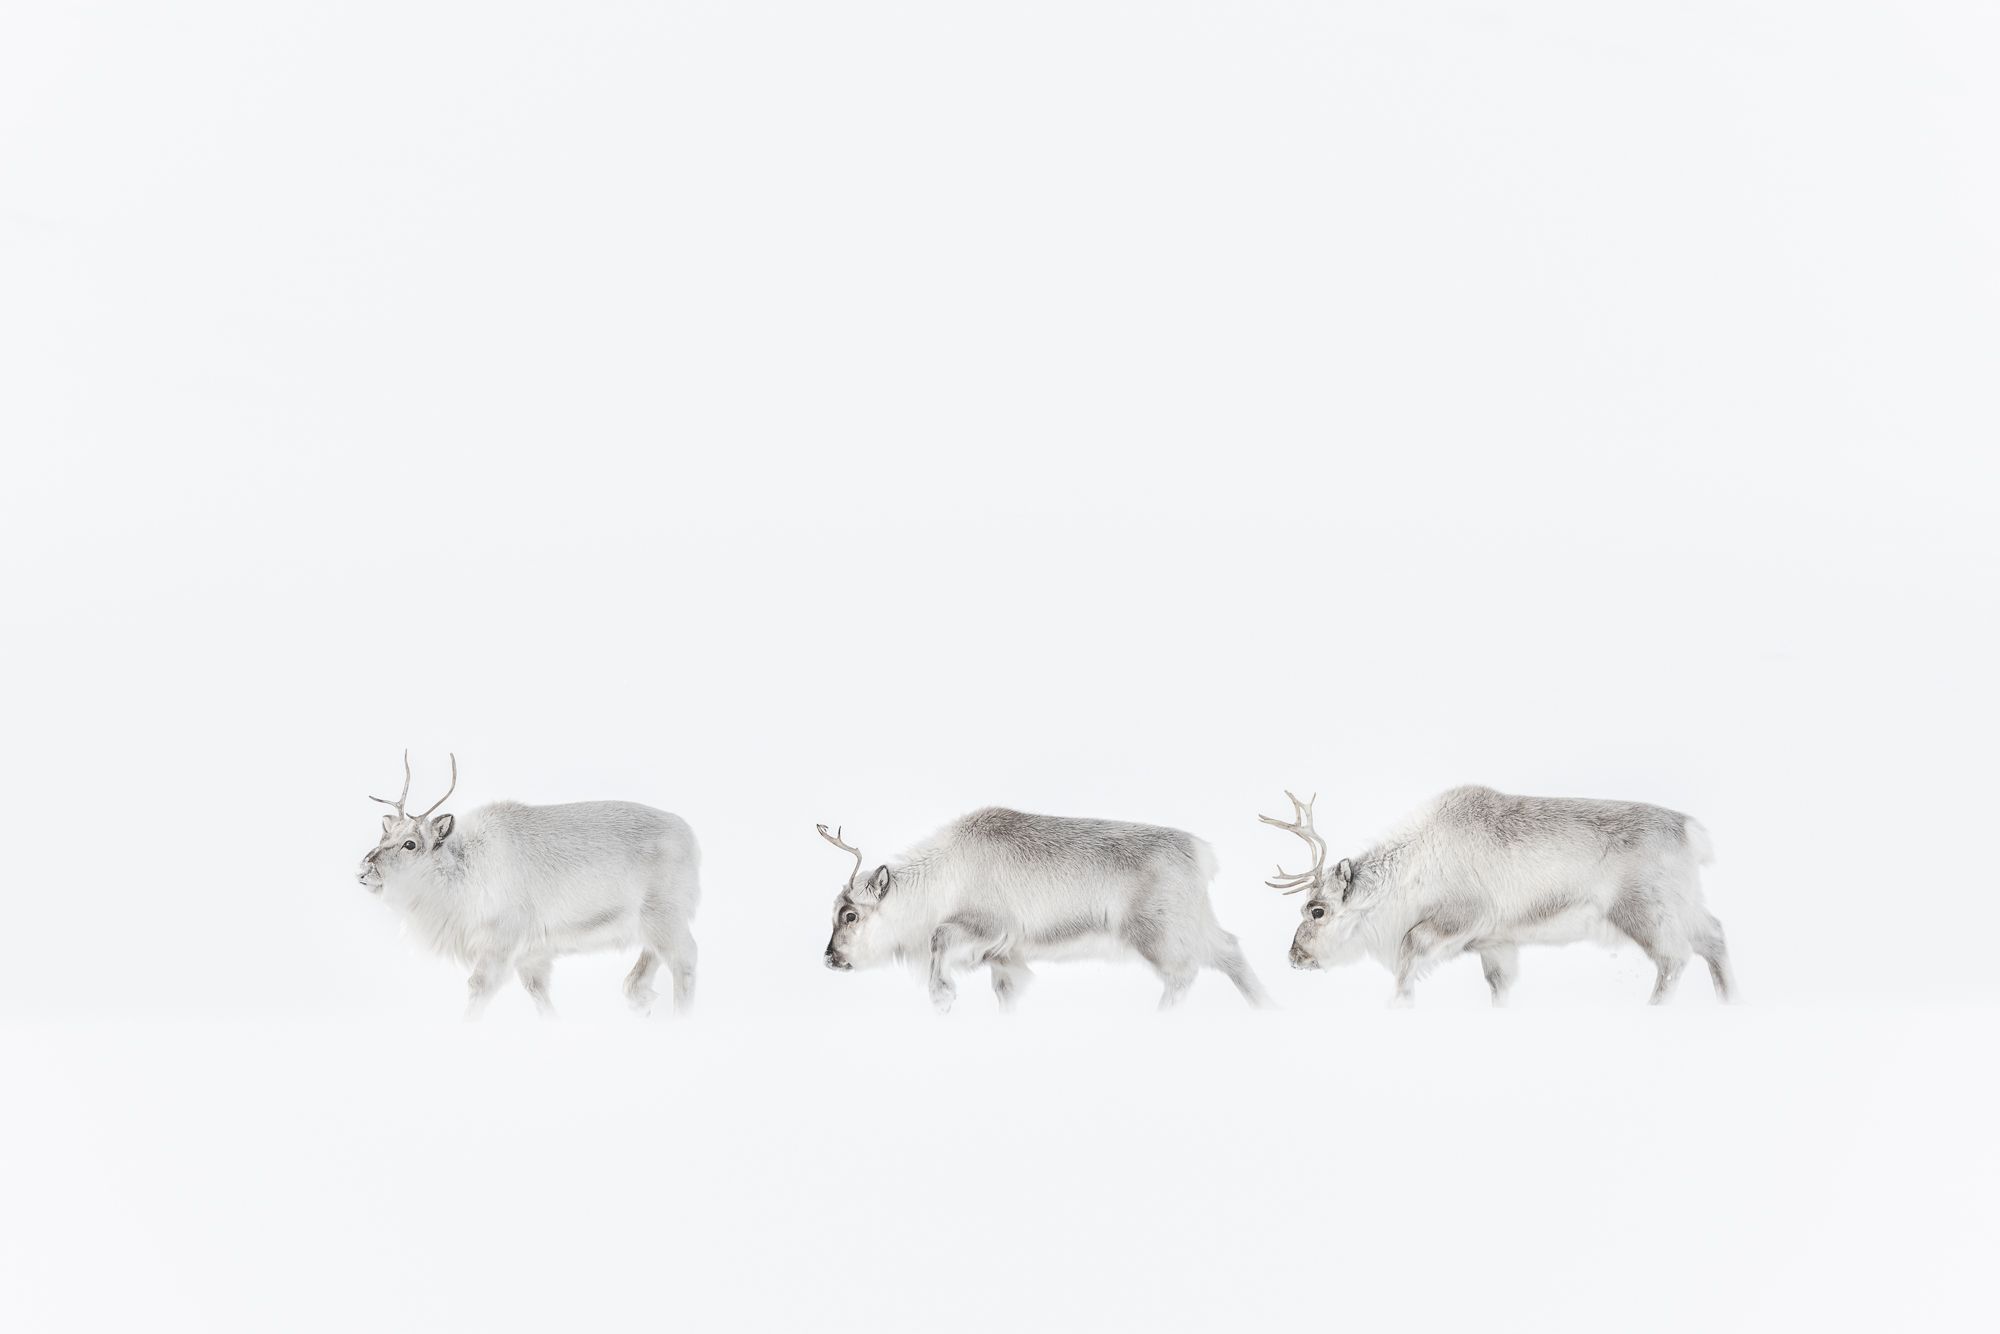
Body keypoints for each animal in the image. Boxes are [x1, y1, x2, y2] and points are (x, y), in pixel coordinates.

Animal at [355, 753, 700, 1018]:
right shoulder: (532, 956)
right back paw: (640, 1001)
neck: (460, 874)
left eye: (410, 844)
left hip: (664, 915)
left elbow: (477, 989)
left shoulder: (502, 941)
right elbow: (541, 999)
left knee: (684, 960)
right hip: (650, 922)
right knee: (647, 965)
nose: (363, 869)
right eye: (385, 835)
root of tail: (691, 837)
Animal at [815, 808, 1270, 1012]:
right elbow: (1008, 993)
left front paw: (942, 995)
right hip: (1195, 923)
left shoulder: (989, 926)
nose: (830, 958)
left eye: (850, 915)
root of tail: (1203, 855)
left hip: (1157, 932)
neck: (938, 883)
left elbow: (939, 937)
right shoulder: (1006, 958)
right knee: (1230, 951)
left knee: (1184, 972)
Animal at [1260, 785, 1733, 1007]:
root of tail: (1693, 832)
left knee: (1674, 958)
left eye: (1317, 910)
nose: (1294, 956)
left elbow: (1409, 955)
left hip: (1643, 909)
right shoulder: (1498, 944)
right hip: (1685, 902)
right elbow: (1499, 988)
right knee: (1714, 935)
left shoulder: (1461, 918)